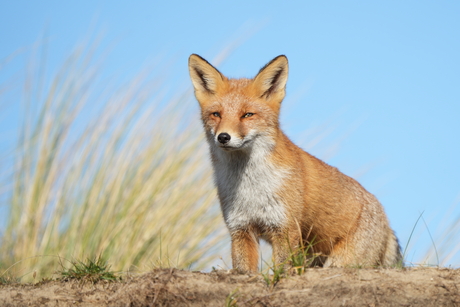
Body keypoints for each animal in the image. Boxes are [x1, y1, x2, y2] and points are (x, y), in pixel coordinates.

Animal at [188, 54, 402, 274]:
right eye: (216, 114)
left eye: (247, 115)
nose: (223, 137)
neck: (251, 187)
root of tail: (384, 216)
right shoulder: (240, 229)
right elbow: (244, 269)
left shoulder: (285, 228)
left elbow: (283, 269)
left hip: (340, 262)